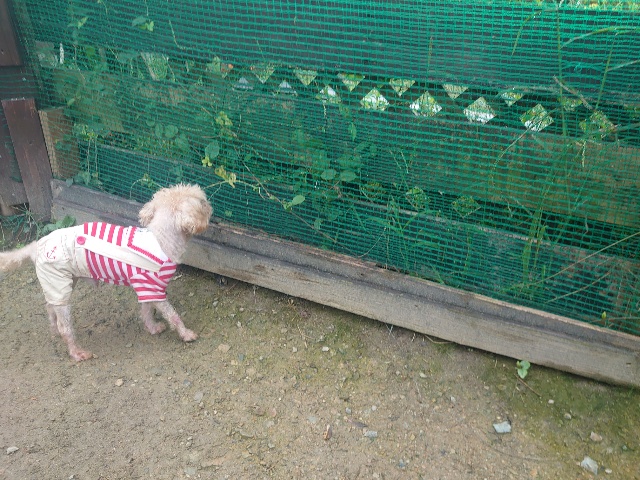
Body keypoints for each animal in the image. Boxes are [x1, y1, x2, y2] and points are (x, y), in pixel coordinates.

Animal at [0, 184, 212, 361]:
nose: (211, 206)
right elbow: (173, 315)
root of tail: (36, 246)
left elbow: (146, 310)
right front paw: (186, 334)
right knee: (65, 326)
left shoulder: (145, 288)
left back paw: (53, 329)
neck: (161, 239)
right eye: (202, 202)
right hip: (59, 284)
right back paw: (77, 352)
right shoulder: (153, 288)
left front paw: (152, 328)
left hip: (59, 283)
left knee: (50, 307)